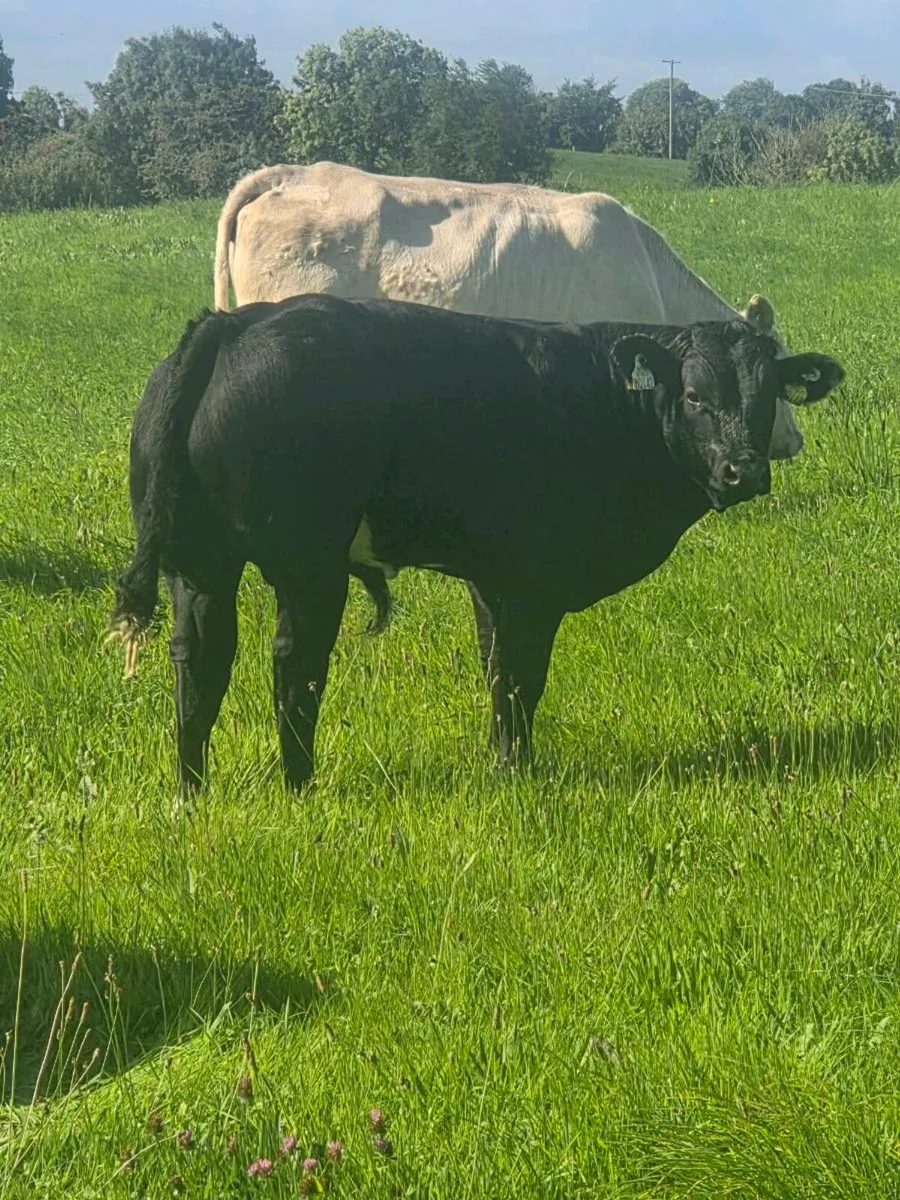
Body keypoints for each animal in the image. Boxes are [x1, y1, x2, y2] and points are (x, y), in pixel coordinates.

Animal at [108, 295, 843, 794]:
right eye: (693, 394)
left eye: (768, 393)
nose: (744, 470)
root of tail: (236, 324)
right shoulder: (530, 582)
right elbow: (519, 679)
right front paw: (517, 771)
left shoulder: (490, 579)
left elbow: (496, 671)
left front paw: (502, 763)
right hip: (309, 567)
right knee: (295, 666)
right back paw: (299, 785)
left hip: (197, 564)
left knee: (200, 662)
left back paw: (191, 789)